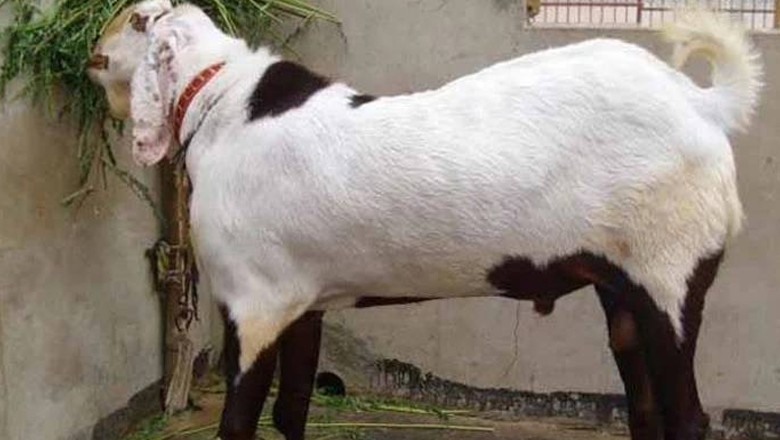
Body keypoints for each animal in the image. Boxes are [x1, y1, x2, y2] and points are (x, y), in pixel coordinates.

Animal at [87, 2, 762, 439]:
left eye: (137, 20)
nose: (93, 53)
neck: (221, 102)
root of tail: (701, 103)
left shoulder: (253, 304)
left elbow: (240, 421)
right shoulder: (303, 300)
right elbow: (292, 410)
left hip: (670, 274)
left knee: (687, 417)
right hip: (622, 289)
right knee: (645, 409)